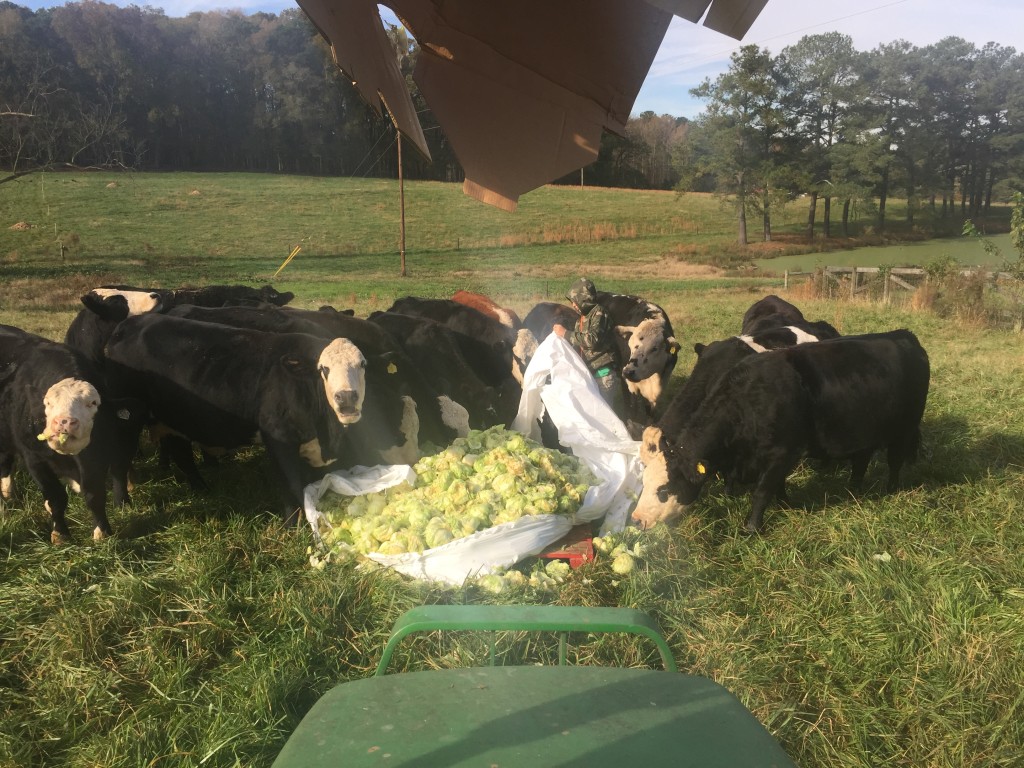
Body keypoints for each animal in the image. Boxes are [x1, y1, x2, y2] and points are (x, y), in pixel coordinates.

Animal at [0, 325, 146, 548]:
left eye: (92, 403)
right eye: (48, 403)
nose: (64, 422)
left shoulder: (96, 457)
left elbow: (95, 494)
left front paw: (102, 532)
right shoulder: (34, 459)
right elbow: (55, 498)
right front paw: (60, 533)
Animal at [630, 331, 929, 536]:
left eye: (664, 489)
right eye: (643, 481)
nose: (636, 518)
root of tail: (903, 335)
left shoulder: (782, 453)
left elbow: (763, 491)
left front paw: (752, 527)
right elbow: (775, 484)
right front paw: (784, 503)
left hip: (905, 429)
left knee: (895, 461)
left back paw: (890, 491)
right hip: (862, 433)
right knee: (861, 460)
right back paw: (854, 490)